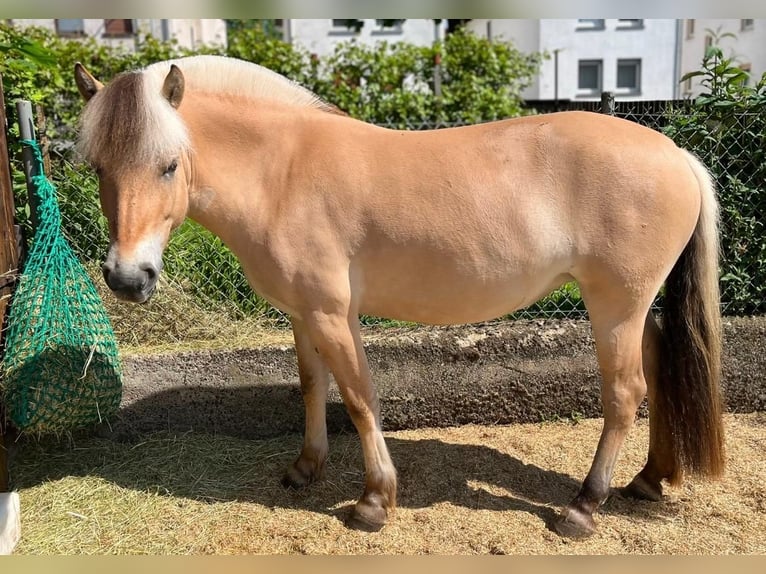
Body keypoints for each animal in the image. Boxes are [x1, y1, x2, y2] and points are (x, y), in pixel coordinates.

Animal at [73, 54, 725, 539]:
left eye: (168, 164)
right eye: (97, 167)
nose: (128, 278)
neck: (281, 172)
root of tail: (675, 154)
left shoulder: (333, 314)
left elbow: (361, 398)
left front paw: (374, 501)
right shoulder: (303, 314)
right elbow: (313, 386)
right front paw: (306, 467)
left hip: (614, 306)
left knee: (624, 394)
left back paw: (584, 507)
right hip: (635, 309)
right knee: (659, 371)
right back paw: (649, 479)